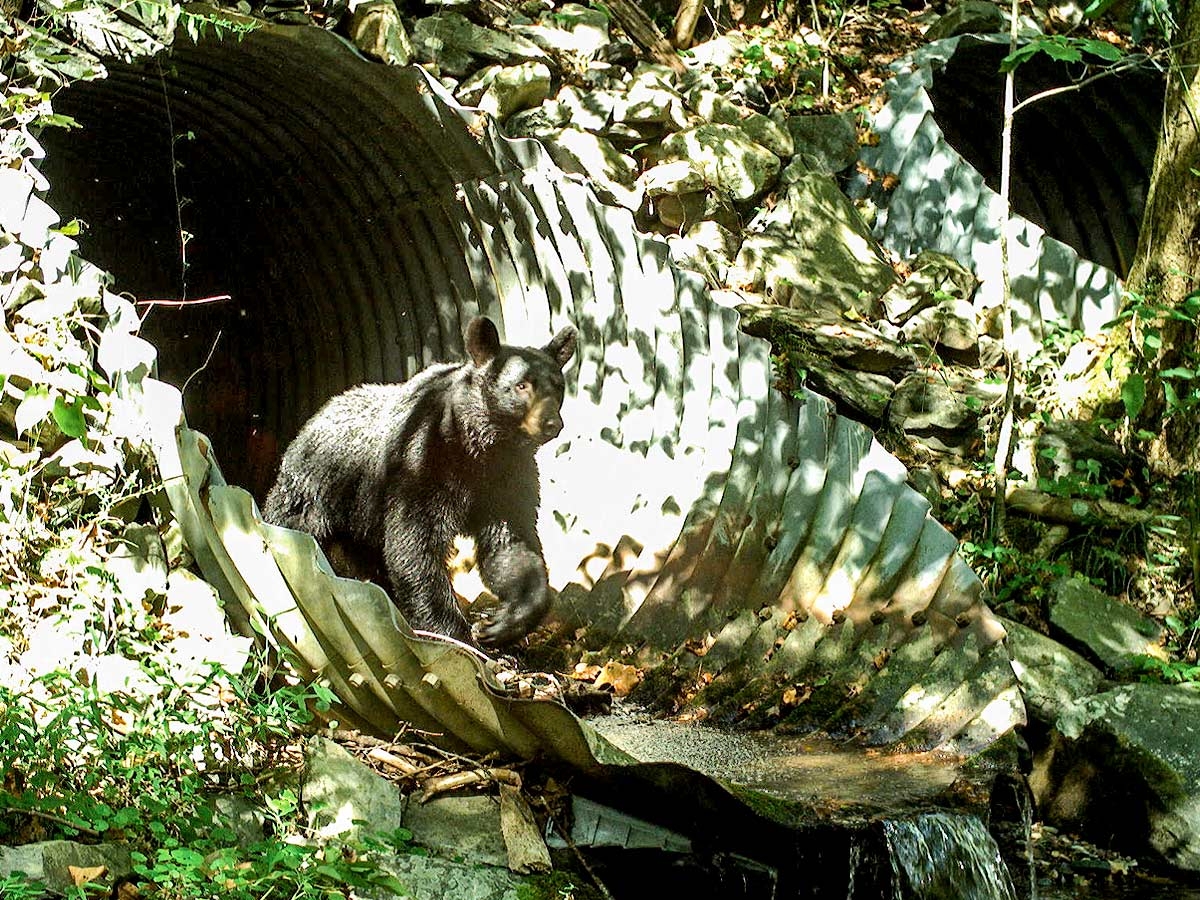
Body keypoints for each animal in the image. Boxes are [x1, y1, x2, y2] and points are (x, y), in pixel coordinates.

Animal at [264, 316, 580, 648]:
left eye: (558, 386)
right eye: (521, 386)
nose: (552, 423)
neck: (480, 448)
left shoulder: (507, 480)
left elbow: (511, 545)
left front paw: (501, 623)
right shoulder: (421, 464)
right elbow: (414, 545)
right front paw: (455, 633)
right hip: (317, 492)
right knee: (292, 522)